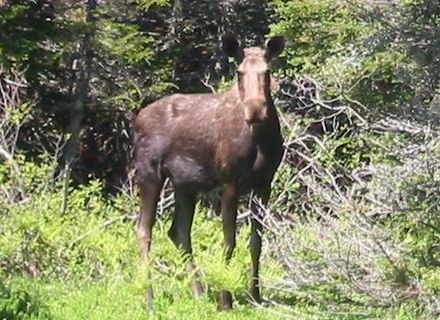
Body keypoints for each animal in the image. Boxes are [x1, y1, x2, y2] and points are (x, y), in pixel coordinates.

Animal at [134, 33, 286, 308]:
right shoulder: (230, 183)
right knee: (144, 229)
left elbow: (256, 242)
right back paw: (149, 299)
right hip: (149, 174)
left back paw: (198, 292)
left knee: (178, 231)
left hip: (185, 184)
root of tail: (136, 119)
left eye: (267, 71)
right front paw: (226, 301)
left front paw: (255, 295)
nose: (255, 111)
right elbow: (229, 242)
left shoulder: (264, 184)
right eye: (239, 72)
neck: (259, 140)